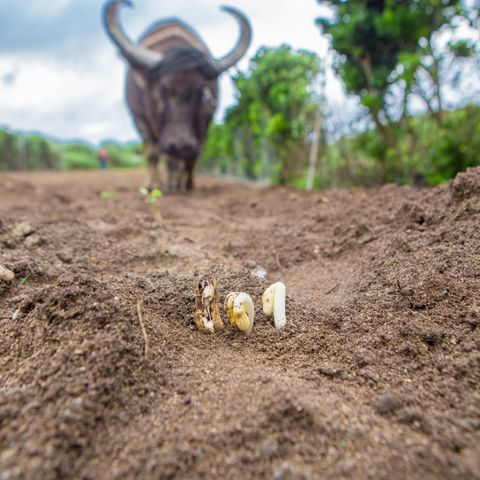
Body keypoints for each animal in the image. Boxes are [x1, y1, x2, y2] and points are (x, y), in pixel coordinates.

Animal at [101, 0, 251, 191]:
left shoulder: (205, 122)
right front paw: (153, 185)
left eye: (201, 91)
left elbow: (193, 155)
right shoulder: (140, 118)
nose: (181, 145)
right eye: (163, 88)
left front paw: (188, 184)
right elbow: (152, 153)